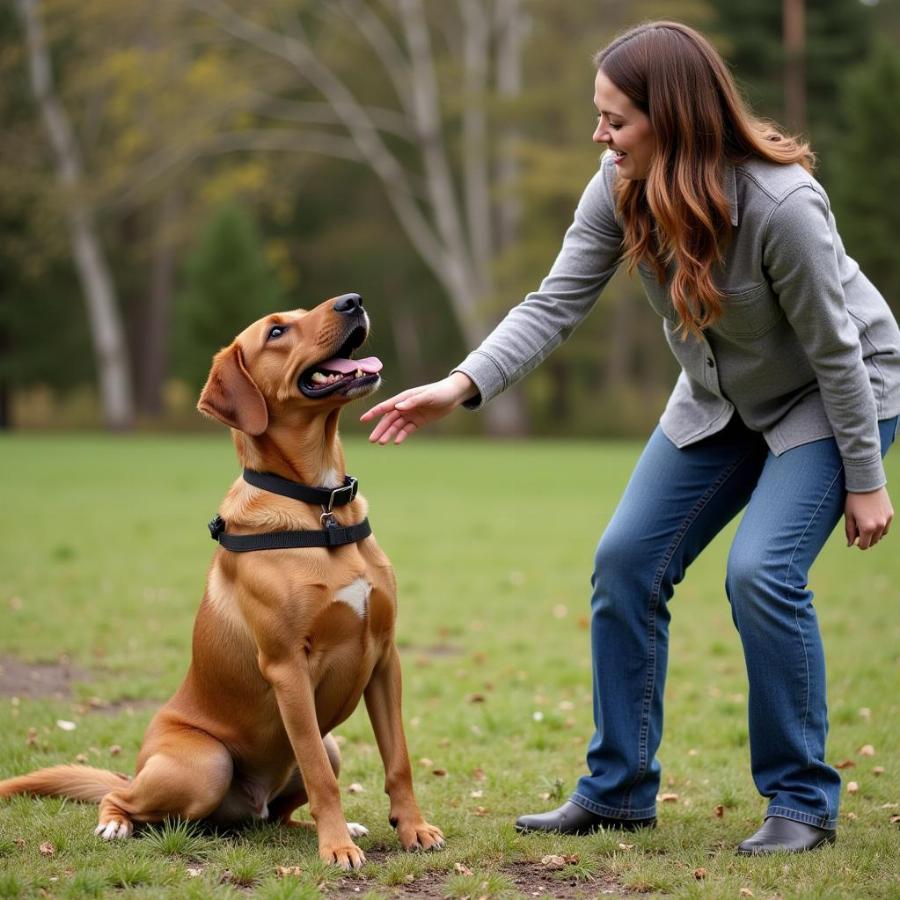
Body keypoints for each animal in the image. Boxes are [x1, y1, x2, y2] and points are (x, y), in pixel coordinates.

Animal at [0, 292, 442, 868]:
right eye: (276, 332)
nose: (353, 300)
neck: (320, 508)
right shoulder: (287, 668)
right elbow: (321, 779)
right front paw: (337, 848)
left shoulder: (385, 656)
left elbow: (399, 761)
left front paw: (411, 828)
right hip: (205, 764)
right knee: (124, 796)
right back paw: (117, 824)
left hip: (329, 746)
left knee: (278, 814)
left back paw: (326, 826)